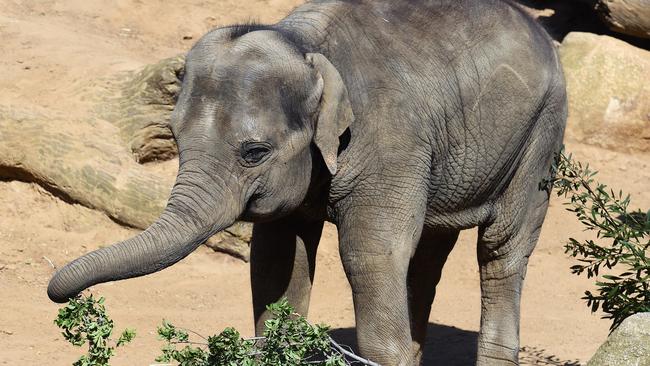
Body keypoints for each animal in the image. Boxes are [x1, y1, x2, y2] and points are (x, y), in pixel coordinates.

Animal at [48, 1, 564, 364]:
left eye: (254, 152)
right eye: (173, 136)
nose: (62, 296)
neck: (304, 43)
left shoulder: (391, 143)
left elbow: (369, 255)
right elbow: (276, 260)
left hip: (542, 133)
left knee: (501, 249)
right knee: (428, 256)